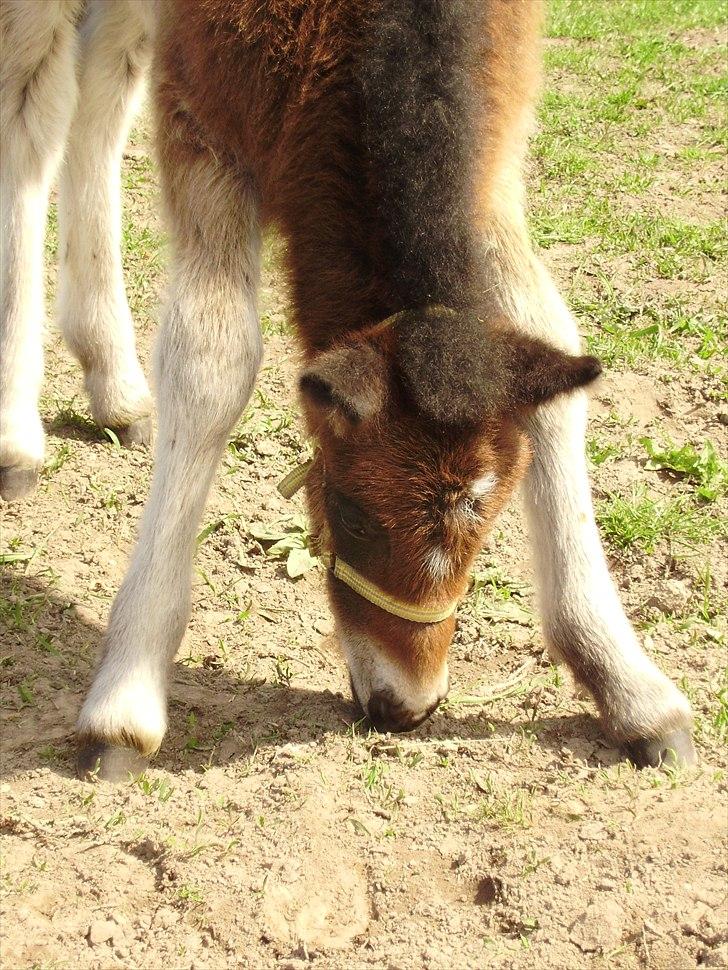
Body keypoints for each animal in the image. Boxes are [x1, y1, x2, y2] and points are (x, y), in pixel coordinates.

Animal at [0, 0, 692, 776]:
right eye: (352, 511)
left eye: (489, 526)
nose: (407, 707)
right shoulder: (207, 98)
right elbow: (213, 360)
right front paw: (127, 698)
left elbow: (544, 320)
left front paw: (628, 684)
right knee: (34, 111)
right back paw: (16, 435)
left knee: (99, 89)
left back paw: (115, 381)